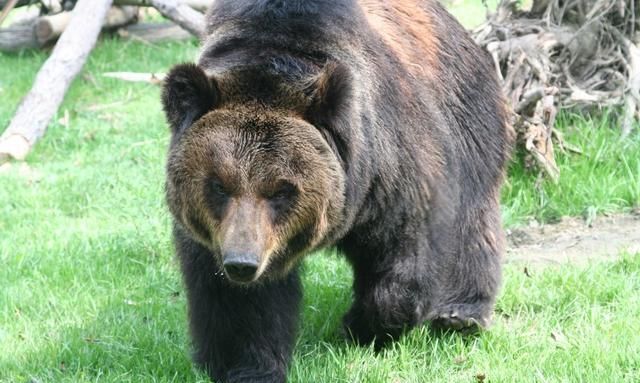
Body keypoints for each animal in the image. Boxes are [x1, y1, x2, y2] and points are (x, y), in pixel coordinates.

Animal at [162, 0, 512, 380]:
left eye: (282, 190)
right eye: (219, 184)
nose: (242, 263)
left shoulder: (389, 168)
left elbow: (406, 254)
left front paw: (362, 326)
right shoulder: (215, 233)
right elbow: (238, 304)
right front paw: (245, 366)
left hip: (468, 120)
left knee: (473, 222)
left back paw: (461, 315)